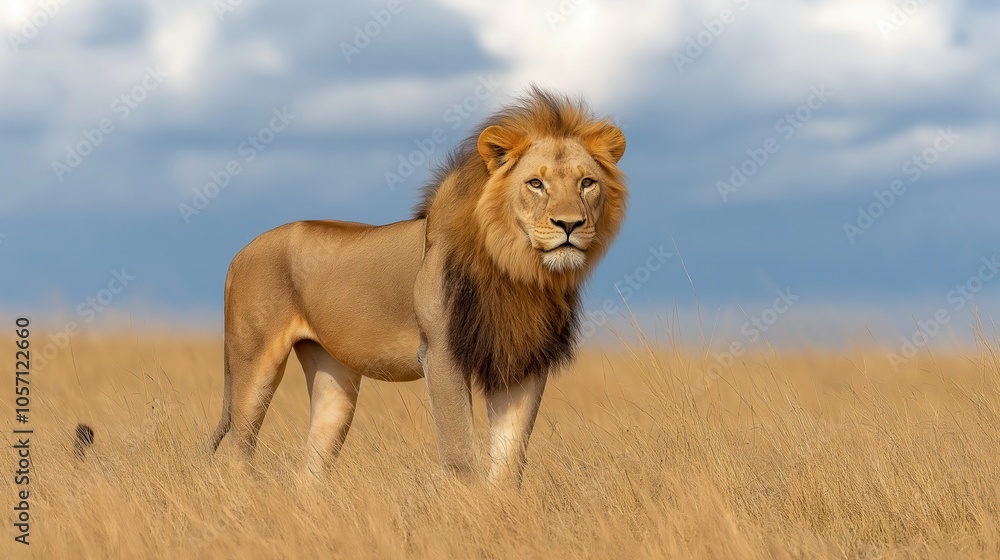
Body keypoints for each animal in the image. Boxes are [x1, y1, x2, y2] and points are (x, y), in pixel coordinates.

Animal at [207, 86, 628, 483]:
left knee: (309, 470)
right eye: (536, 183)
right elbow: (460, 455)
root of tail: (239, 254)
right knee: (237, 454)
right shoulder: (440, 354)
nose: (570, 224)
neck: (518, 270)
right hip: (253, 365)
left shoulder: (522, 361)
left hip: (334, 375)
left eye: (587, 183)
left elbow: (509, 461)